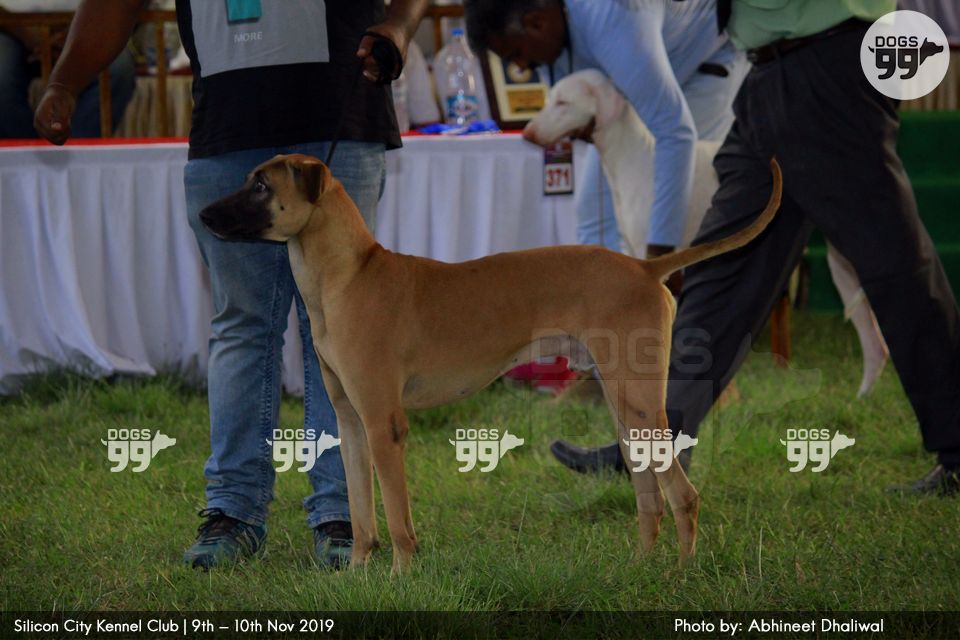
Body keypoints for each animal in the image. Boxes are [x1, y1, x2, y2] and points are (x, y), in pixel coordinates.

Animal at [199, 152, 781, 572]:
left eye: (260, 185)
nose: (201, 214)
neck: (350, 275)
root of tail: (643, 267)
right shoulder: (350, 422)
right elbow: (363, 516)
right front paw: (360, 573)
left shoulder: (385, 425)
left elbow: (397, 518)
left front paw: (399, 578)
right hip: (624, 410)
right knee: (650, 499)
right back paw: (639, 568)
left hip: (638, 406)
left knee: (683, 495)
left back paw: (681, 574)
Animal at [523, 69, 889, 398]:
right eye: (548, 99)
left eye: (563, 102)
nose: (527, 133)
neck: (636, 158)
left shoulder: (646, 254)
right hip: (841, 264)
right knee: (874, 341)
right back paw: (863, 396)